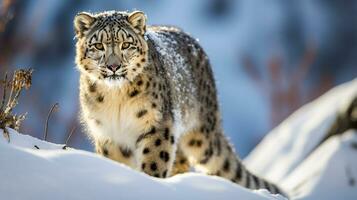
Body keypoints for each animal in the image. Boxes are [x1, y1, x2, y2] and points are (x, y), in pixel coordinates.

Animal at [73, 10, 286, 196]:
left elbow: (154, 160)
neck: (116, 98)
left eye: (126, 44)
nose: (113, 66)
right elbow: (117, 163)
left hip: (201, 137)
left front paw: (151, 182)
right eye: (98, 46)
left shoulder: (157, 125)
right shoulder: (108, 134)